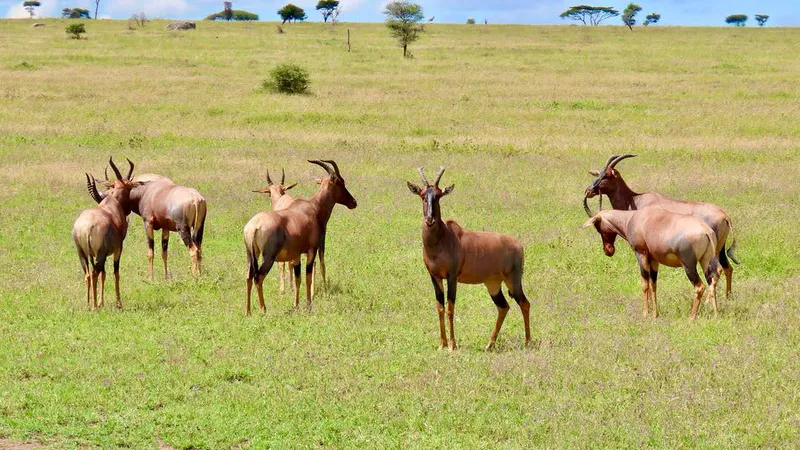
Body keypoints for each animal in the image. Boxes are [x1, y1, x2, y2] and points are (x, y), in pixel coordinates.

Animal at [72, 157, 143, 310]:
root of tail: (86, 227)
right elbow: (116, 273)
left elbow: (104, 275)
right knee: (94, 274)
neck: (111, 205)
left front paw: (101, 302)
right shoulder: (117, 250)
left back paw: (88, 304)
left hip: (81, 253)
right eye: (129, 188)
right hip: (99, 254)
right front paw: (118, 304)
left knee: (88, 275)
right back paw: (94, 307)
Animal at [243, 160, 357, 315]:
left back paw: (248, 312)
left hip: (251, 254)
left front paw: (296, 305)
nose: (353, 202)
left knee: (248, 277)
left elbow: (298, 279)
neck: (313, 208)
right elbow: (308, 277)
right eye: (340, 182)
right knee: (258, 277)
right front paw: (309, 305)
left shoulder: (296, 254)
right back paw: (263, 310)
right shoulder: (311, 250)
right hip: (269, 257)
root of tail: (254, 226)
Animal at [407, 167, 531, 351]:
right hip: (493, 284)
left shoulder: (452, 276)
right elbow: (440, 308)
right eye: (423, 195)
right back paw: (489, 344)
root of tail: (519, 245)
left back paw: (528, 342)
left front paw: (452, 346)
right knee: (503, 307)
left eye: (438, 195)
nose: (430, 219)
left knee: (524, 303)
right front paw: (442, 345)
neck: (443, 238)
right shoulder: (434, 277)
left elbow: (450, 308)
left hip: (513, 280)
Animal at [582, 207, 719, 319]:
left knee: (700, 286)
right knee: (712, 283)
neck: (634, 218)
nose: (608, 250)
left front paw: (645, 313)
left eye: (598, 226)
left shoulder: (641, 255)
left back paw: (691, 317)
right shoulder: (654, 260)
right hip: (705, 262)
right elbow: (653, 285)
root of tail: (706, 230)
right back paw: (716, 314)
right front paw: (655, 314)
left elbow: (644, 284)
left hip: (689, 266)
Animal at [584, 154, 739, 299]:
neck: (635, 199)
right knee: (727, 268)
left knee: (717, 271)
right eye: (599, 174)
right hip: (720, 248)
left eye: (607, 175)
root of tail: (725, 215)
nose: (588, 191)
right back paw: (728, 297)